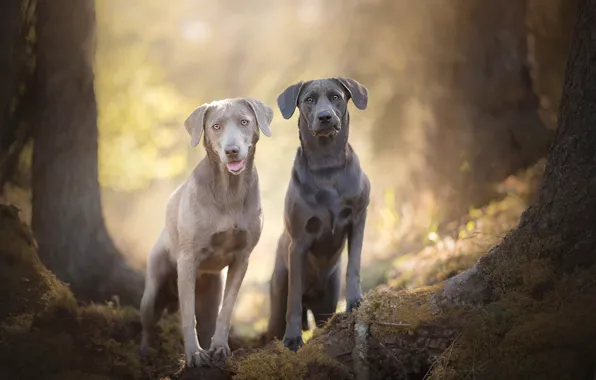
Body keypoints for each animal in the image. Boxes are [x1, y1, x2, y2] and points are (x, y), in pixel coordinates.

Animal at [140, 96, 272, 366]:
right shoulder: (188, 260)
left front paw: (219, 348)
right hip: (153, 286)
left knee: (208, 318)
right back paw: (146, 352)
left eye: (244, 122)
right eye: (216, 126)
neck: (229, 191)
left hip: (211, 291)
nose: (231, 150)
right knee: (148, 321)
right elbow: (187, 315)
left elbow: (227, 309)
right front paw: (194, 355)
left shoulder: (242, 258)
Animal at [266, 78, 370, 354]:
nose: (325, 117)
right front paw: (292, 339)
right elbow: (293, 301)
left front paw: (354, 301)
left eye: (336, 96)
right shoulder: (299, 241)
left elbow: (354, 266)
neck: (327, 164)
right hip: (277, 292)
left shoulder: (358, 218)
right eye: (309, 100)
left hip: (327, 299)